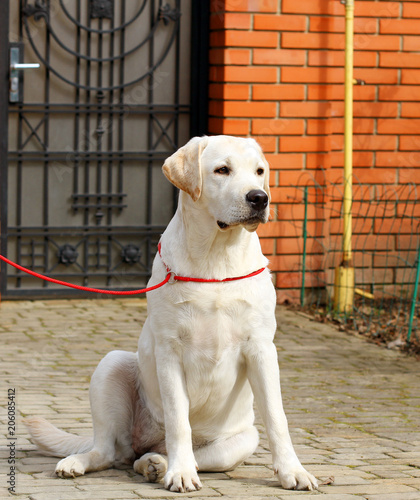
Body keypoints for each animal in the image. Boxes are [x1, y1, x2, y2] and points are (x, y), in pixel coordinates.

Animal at [24, 136, 316, 492]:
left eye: (260, 171)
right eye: (222, 170)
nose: (260, 198)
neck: (216, 259)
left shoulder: (261, 348)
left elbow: (277, 418)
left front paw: (293, 471)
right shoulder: (169, 350)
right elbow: (179, 420)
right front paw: (181, 474)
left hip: (241, 441)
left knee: (183, 455)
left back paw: (156, 464)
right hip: (112, 365)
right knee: (108, 451)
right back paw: (88, 461)